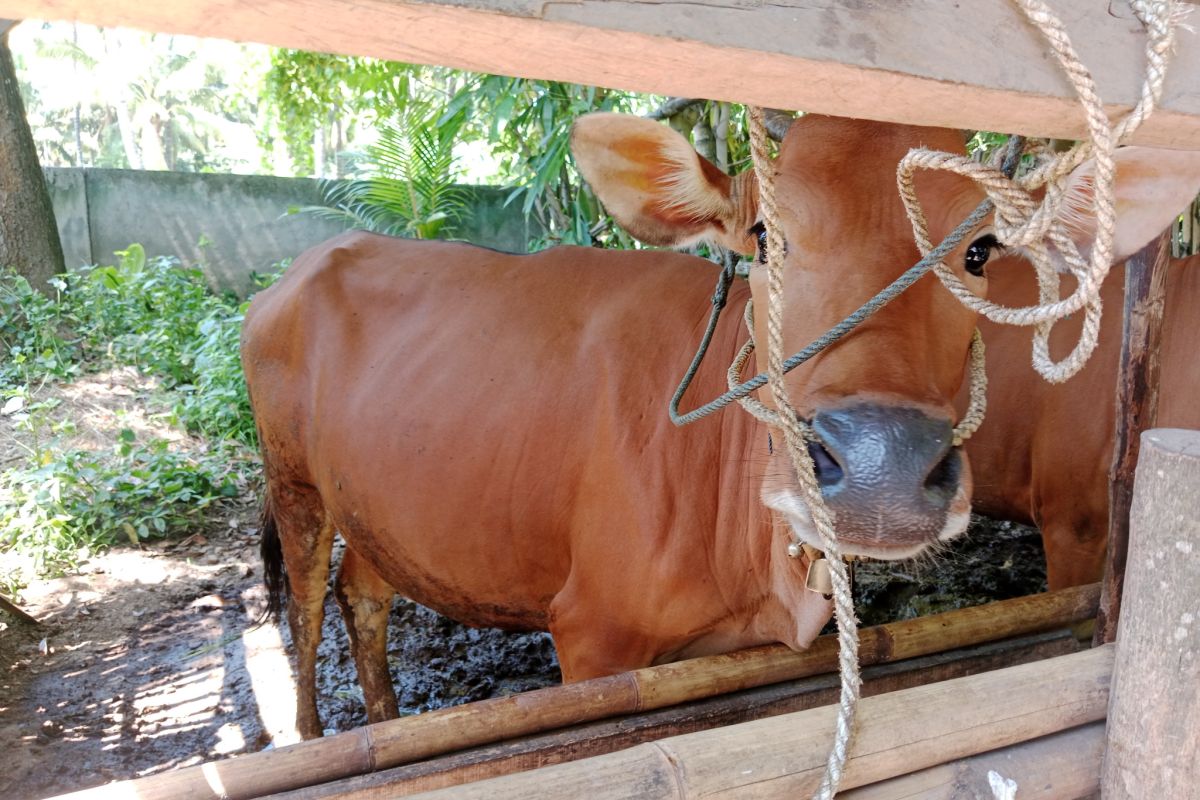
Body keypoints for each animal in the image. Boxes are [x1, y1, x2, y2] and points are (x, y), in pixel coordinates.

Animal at [241, 112, 1190, 738]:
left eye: (980, 252)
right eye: (764, 236)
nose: (882, 465)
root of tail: (305, 266)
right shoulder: (591, 637)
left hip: (377, 503)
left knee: (365, 593)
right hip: (293, 485)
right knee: (306, 610)